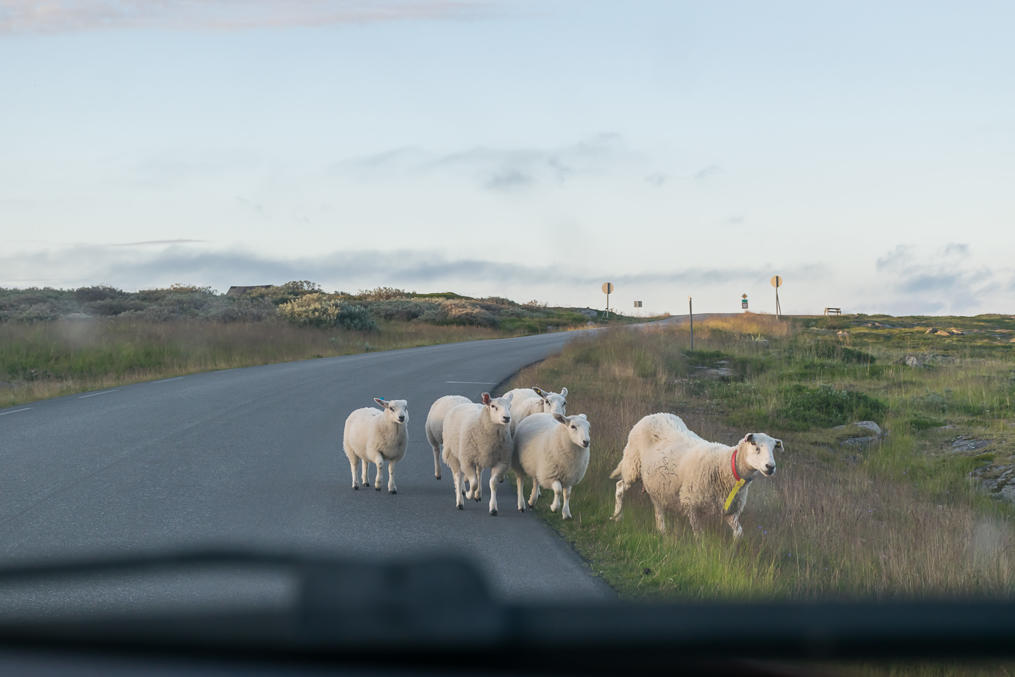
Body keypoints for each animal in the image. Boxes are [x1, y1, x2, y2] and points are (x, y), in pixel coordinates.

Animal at [604, 414, 779, 539]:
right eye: (755, 446)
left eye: (773, 449)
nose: (771, 467)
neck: (725, 466)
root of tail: (652, 415)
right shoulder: (691, 504)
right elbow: (699, 536)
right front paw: (702, 555)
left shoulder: (730, 512)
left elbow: (739, 533)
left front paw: (733, 551)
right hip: (632, 465)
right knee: (620, 487)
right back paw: (617, 516)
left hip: (658, 482)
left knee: (657, 505)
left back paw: (662, 531)